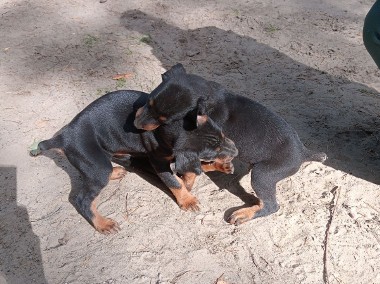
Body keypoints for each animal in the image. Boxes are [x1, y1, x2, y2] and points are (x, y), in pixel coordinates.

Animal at [31, 90, 238, 234]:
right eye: (212, 152)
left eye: (222, 134)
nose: (236, 151)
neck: (167, 127)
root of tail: (63, 137)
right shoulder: (159, 163)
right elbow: (175, 182)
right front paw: (187, 199)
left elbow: (192, 170)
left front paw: (218, 167)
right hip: (97, 167)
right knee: (82, 199)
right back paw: (103, 224)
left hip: (109, 159)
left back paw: (115, 172)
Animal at [134, 63, 326, 224]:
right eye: (149, 102)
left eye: (165, 120)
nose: (135, 124)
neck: (211, 97)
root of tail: (303, 152)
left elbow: (189, 171)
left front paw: (186, 186)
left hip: (262, 175)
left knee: (271, 205)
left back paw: (243, 214)